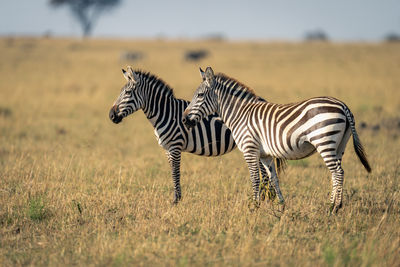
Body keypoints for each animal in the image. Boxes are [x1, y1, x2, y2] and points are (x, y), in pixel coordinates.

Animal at [108, 67, 274, 205]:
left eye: (127, 93)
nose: (111, 116)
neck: (165, 113)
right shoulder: (167, 149)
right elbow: (172, 172)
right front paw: (177, 198)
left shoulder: (175, 146)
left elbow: (175, 172)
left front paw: (176, 201)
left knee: (263, 171)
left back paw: (265, 198)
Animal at [183, 67, 370, 214]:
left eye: (200, 95)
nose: (184, 120)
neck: (240, 114)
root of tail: (343, 105)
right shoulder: (265, 155)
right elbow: (274, 179)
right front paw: (281, 206)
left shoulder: (250, 150)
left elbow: (255, 178)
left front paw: (254, 207)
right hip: (339, 145)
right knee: (335, 173)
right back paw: (332, 205)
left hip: (324, 140)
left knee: (338, 172)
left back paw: (334, 207)